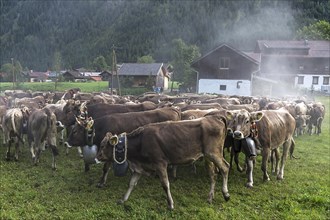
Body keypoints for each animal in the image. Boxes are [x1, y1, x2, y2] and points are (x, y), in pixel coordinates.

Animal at [95, 111, 229, 210]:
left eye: (102, 146)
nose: (97, 157)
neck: (141, 141)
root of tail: (215, 117)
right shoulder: (139, 168)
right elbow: (131, 184)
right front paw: (123, 199)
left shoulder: (160, 164)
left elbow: (165, 184)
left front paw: (170, 204)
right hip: (208, 157)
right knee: (213, 175)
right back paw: (210, 197)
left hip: (213, 153)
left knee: (225, 168)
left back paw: (226, 194)